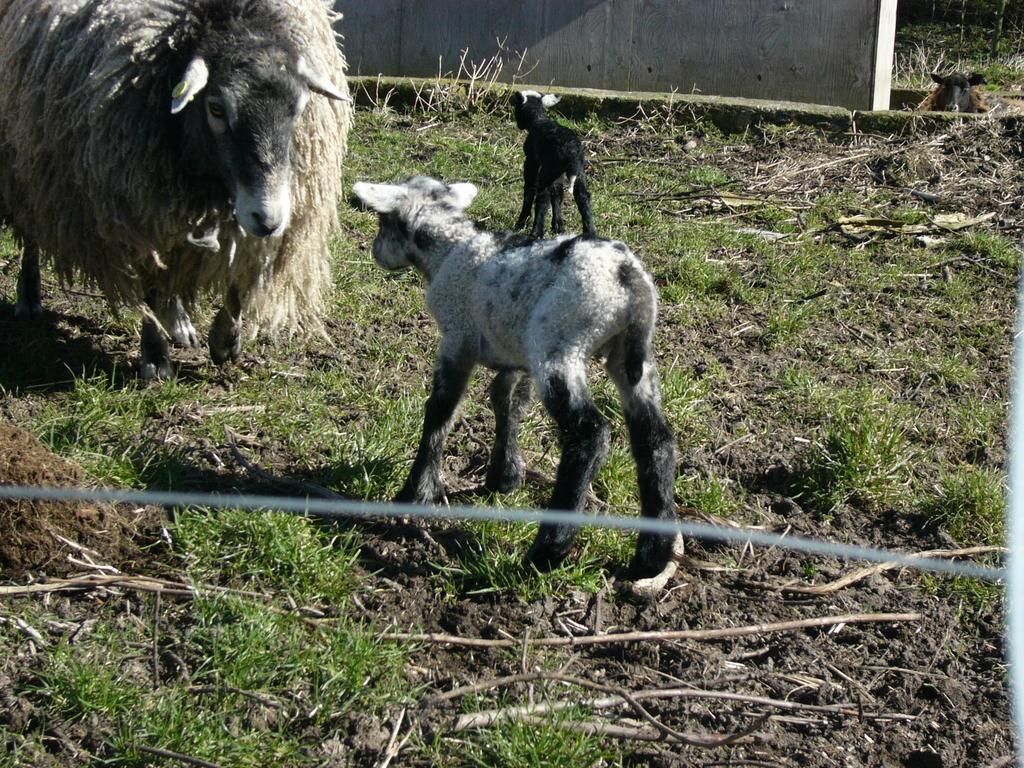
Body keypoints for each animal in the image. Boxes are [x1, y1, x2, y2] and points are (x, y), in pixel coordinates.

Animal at [0, 0, 352, 380]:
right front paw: (155, 358)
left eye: (299, 107)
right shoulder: (136, 211)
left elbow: (236, 271)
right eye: (216, 108)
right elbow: (148, 285)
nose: (269, 219)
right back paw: (29, 295)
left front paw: (227, 338)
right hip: (24, 162)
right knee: (32, 231)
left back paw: (180, 320)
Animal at [356, 177, 684, 598]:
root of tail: (627, 279)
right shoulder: (516, 355)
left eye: (384, 221)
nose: (375, 251)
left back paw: (548, 549)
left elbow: (441, 410)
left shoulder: (458, 339)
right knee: (656, 440)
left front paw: (416, 491)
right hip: (628, 358)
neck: (449, 248)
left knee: (590, 434)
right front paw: (505, 475)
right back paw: (652, 553)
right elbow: (506, 401)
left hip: (559, 341)